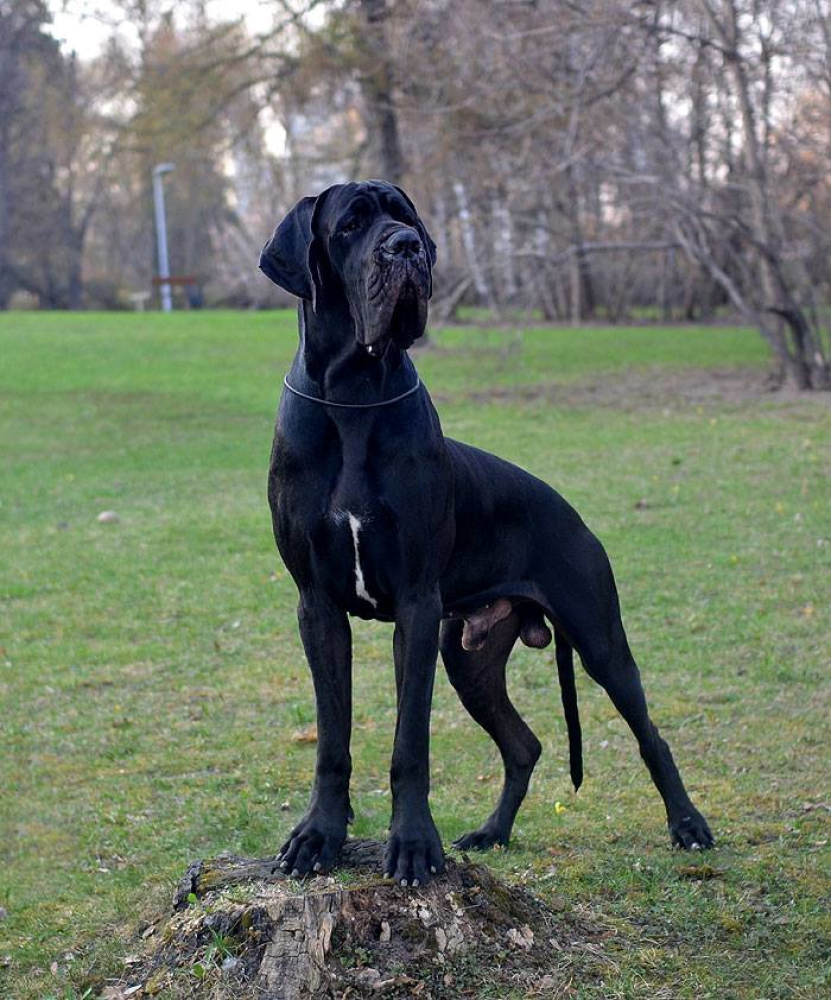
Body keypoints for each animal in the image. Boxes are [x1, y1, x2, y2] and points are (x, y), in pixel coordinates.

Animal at [260, 180, 716, 884]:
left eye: (405, 217)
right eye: (351, 225)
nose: (406, 247)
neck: (355, 396)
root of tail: (572, 512)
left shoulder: (417, 607)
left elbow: (410, 743)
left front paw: (413, 846)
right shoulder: (318, 607)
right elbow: (332, 739)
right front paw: (318, 837)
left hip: (598, 638)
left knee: (650, 734)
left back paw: (688, 825)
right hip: (468, 656)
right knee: (524, 745)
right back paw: (492, 832)